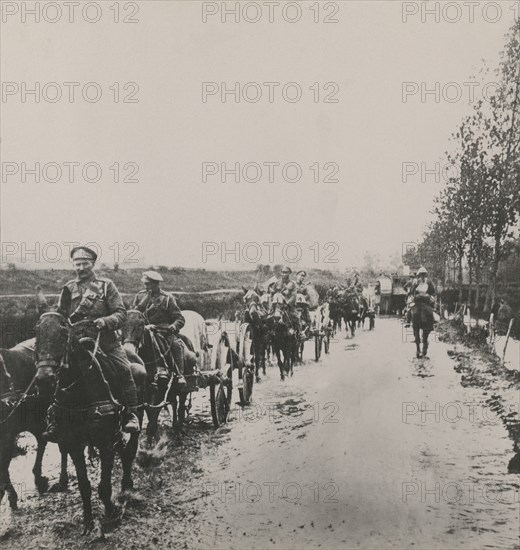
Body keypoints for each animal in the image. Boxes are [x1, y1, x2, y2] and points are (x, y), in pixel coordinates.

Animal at [34, 314, 146, 536]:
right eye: (37, 333)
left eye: (63, 333)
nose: (44, 378)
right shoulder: (74, 444)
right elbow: (84, 486)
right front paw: (87, 521)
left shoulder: (104, 442)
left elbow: (104, 486)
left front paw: (111, 512)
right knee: (123, 451)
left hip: (137, 415)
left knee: (130, 450)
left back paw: (127, 484)